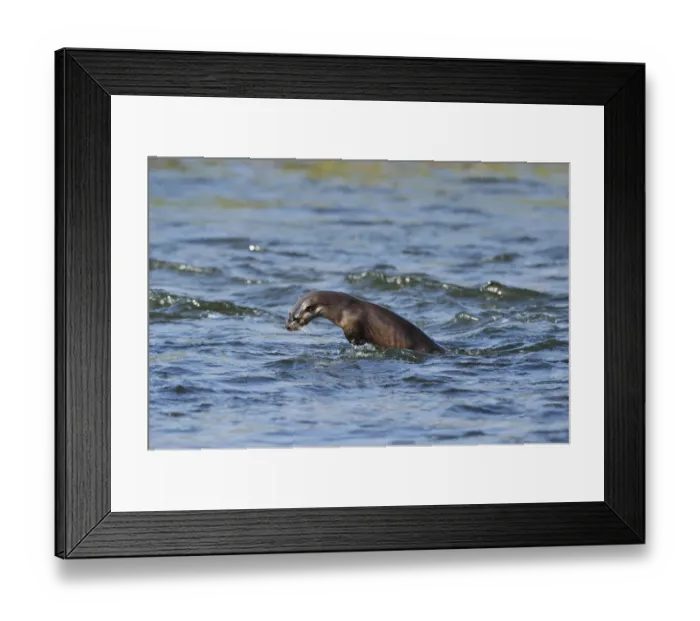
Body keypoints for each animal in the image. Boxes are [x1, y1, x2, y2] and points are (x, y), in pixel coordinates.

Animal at [285, 291, 445, 354]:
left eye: (296, 318)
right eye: (289, 315)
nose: (287, 327)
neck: (343, 308)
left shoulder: (351, 322)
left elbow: (354, 337)